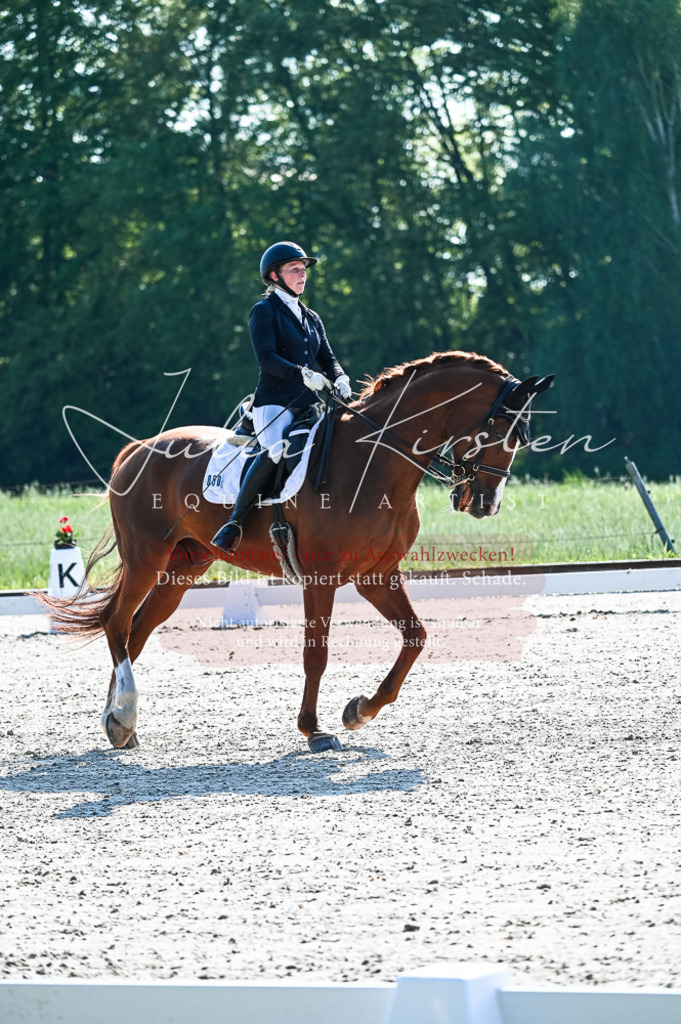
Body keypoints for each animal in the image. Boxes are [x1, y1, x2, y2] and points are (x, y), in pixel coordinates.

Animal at [42, 351, 553, 753]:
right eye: (501, 429)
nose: (484, 503)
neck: (374, 461)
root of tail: (138, 448)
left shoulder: (378, 574)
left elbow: (416, 636)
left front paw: (358, 711)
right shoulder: (321, 577)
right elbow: (316, 654)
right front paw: (314, 730)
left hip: (183, 568)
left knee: (138, 630)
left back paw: (120, 725)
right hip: (147, 558)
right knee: (117, 623)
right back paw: (123, 716)